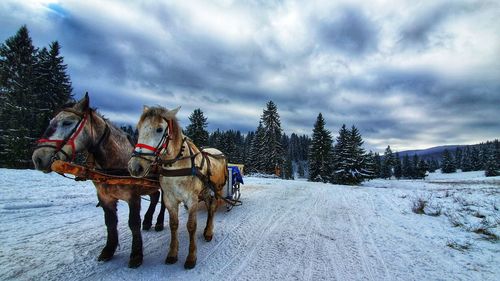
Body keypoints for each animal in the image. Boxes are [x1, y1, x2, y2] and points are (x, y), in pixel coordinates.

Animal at [32, 94, 166, 266]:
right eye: (50, 122)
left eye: (67, 122)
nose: (38, 158)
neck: (115, 163)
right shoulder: (104, 196)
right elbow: (110, 222)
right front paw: (109, 249)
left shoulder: (133, 196)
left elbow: (134, 223)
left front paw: (136, 255)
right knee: (155, 197)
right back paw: (148, 221)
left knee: (163, 203)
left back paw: (159, 222)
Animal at [129, 106, 230, 268]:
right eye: (138, 129)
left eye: (159, 129)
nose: (135, 167)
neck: (177, 164)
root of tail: (218, 152)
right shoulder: (169, 199)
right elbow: (173, 225)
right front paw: (172, 253)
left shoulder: (192, 199)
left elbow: (191, 226)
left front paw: (191, 257)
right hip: (205, 190)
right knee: (209, 206)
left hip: (217, 189)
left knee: (212, 208)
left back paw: (208, 232)